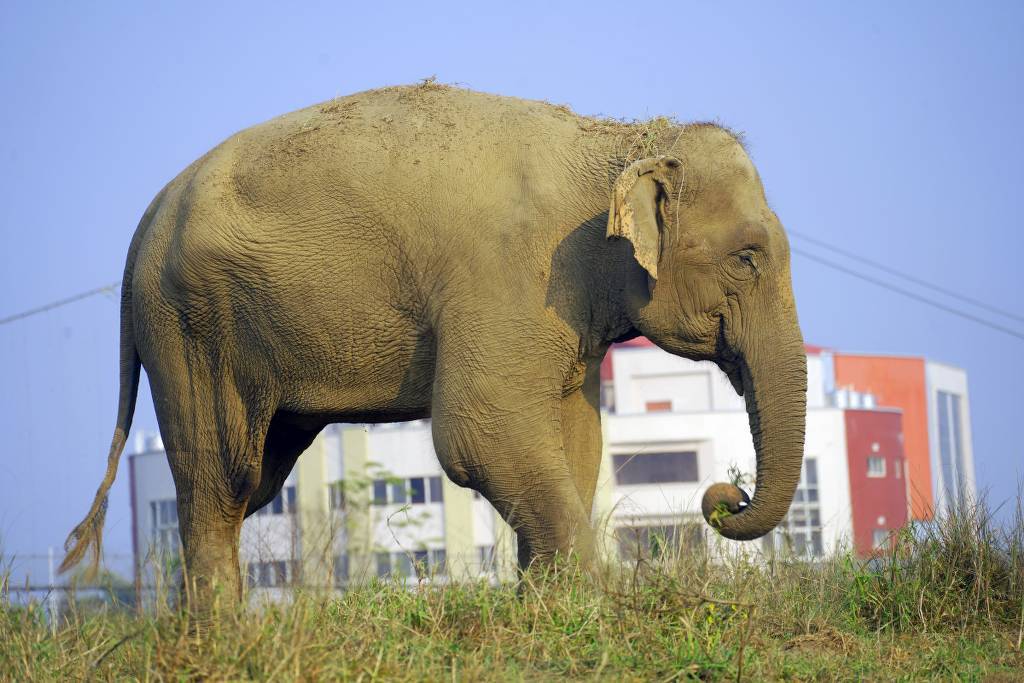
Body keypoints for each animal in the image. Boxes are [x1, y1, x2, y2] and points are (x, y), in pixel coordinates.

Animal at [62, 82, 807, 605]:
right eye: (747, 258)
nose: (726, 495)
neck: (617, 141)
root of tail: (145, 224)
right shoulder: (508, 278)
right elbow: (481, 433)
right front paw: (589, 610)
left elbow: (576, 440)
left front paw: (546, 610)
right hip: (192, 328)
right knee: (221, 479)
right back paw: (221, 637)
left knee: (252, 479)